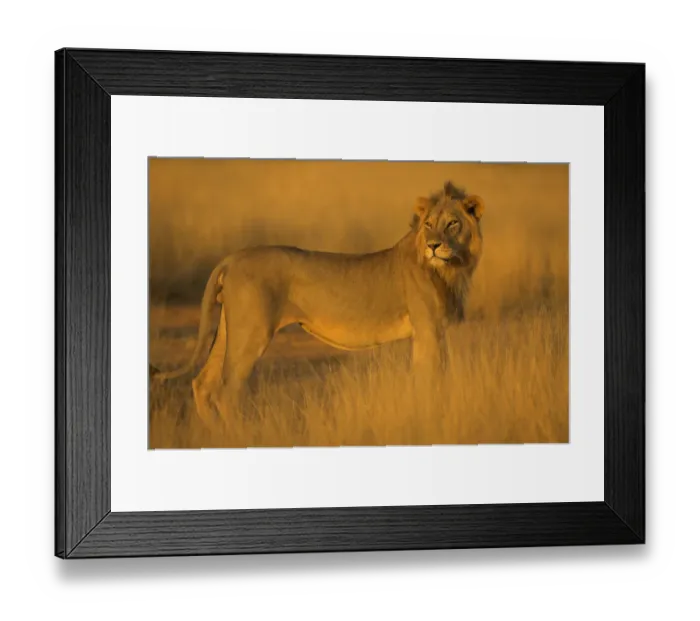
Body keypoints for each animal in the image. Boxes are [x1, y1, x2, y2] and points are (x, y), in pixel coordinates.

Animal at [152, 180, 485, 426]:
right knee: (227, 390)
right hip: (252, 332)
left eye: (452, 224)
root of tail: (232, 258)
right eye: (428, 224)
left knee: (202, 383)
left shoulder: (433, 332)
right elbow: (430, 382)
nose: (433, 246)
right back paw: (239, 436)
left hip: (228, 329)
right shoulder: (428, 329)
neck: (452, 268)